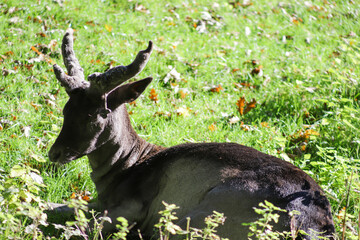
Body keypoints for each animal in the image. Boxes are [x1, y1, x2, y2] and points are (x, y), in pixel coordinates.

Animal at [47, 29, 334, 239]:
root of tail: (311, 226)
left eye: (95, 114)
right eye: (66, 108)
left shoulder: (131, 207)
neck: (124, 169)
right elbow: (59, 206)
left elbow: (77, 229)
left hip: (197, 217)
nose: (54, 153)